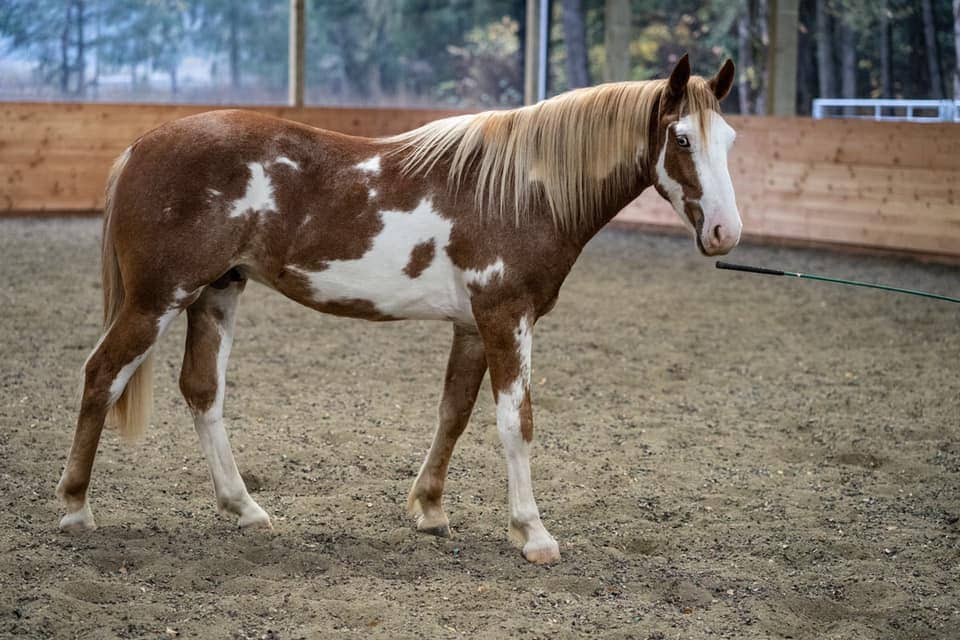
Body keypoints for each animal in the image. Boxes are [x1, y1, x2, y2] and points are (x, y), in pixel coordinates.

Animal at [56, 56, 740, 564]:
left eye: (729, 139)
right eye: (681, 137)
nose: (726, 233)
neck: (519, 192)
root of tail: (142, 145)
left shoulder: (472, 326)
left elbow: (454, 415)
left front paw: (430, 510)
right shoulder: (506, 318)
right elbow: (515, 423)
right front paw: (533, 533)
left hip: (216, 292)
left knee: (202, 390)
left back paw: (244, 509)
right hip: (157, 300)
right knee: (101, 375)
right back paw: (75, 508)